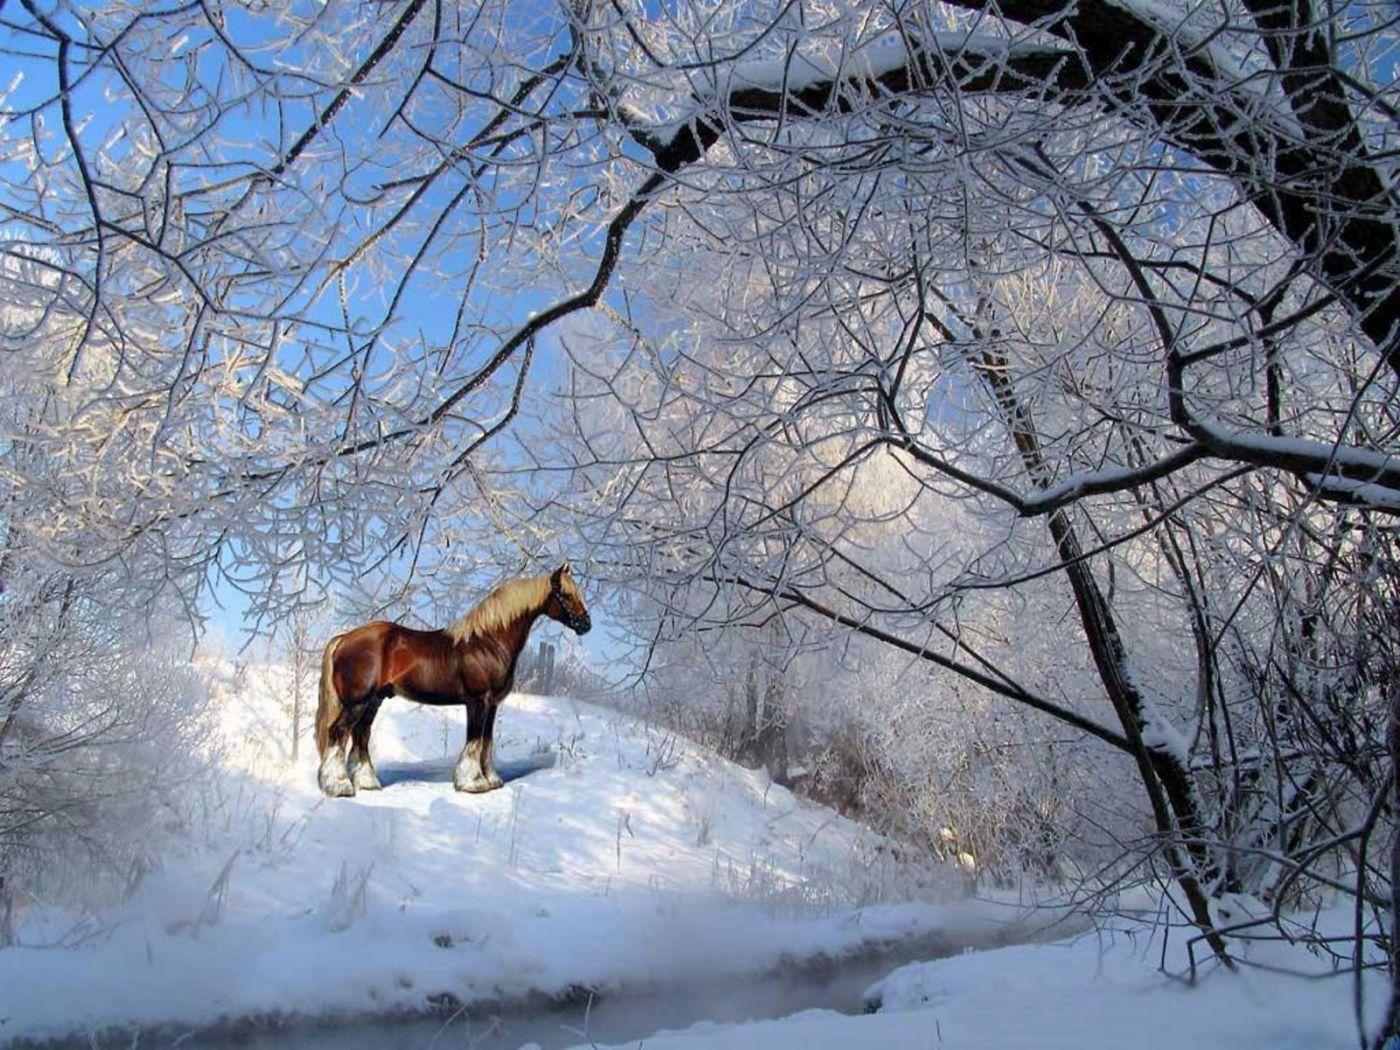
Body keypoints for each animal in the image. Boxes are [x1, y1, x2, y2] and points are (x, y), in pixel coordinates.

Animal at [314, 564, 591, 797]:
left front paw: (492, 780)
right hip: (357, 703)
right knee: (338, 732)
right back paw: (338, 786)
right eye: (565, 594)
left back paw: (367, 782)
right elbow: (474, 740)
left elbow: (486, 741)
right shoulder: (478, 701)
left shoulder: (492, 705)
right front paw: (473, 783)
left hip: (373, 701)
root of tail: (344, 638)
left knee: (361, 734)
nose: (586, 624)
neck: (489, 641)